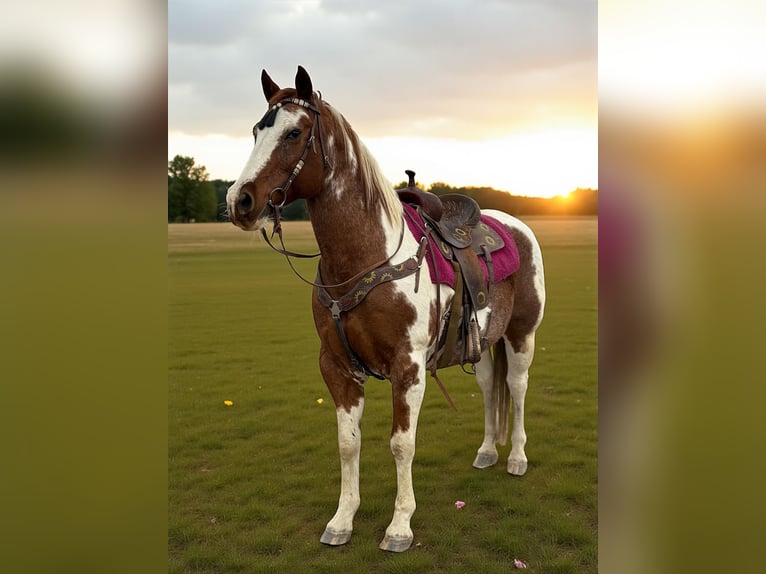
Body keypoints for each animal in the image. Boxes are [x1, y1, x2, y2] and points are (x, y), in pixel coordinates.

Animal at [226, 66, 546, 552]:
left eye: (294, 132)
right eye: (256, 131)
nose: (238, 200)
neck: (366, 258)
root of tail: (516, 225)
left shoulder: (407, 367)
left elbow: (401, 444)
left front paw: (399, 526)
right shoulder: (336, 366)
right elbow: (347, 443)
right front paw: (342, 520)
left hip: (521, 333)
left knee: (518, 386)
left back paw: (518, 458)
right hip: (480, 343)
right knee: (491, 386)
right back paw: (489, 451)